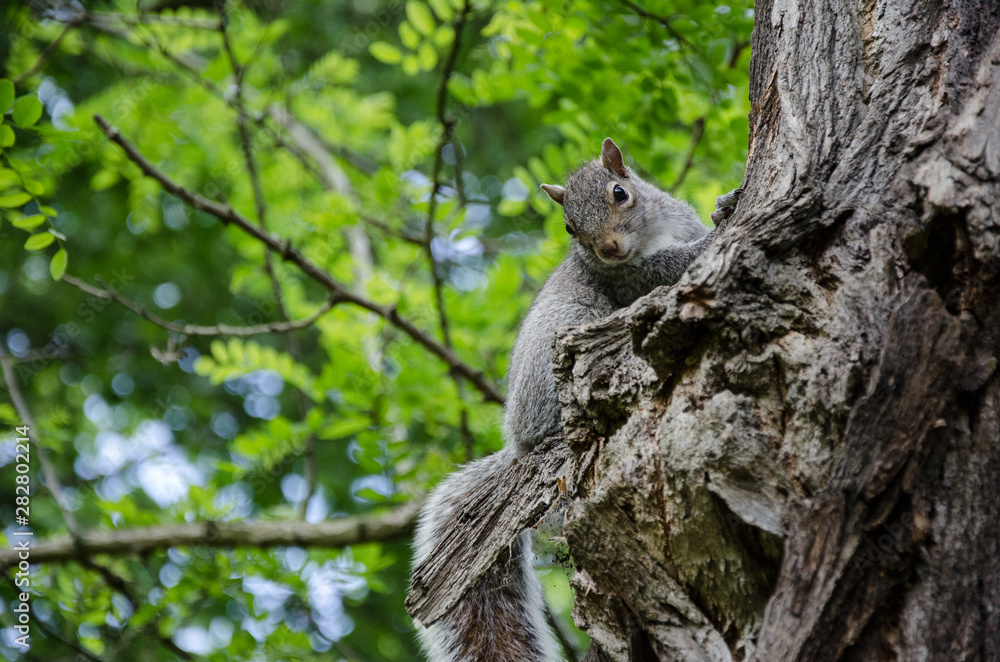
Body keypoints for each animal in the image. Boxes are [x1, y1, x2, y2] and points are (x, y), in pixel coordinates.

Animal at [412, 138, 741, 662]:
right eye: (568, 226)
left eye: (620, 193)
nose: (608, 248)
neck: (650, 235)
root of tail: (519, 446)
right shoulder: (635, 278)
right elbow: (676, 266)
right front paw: (719, 230)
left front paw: (724, 204)